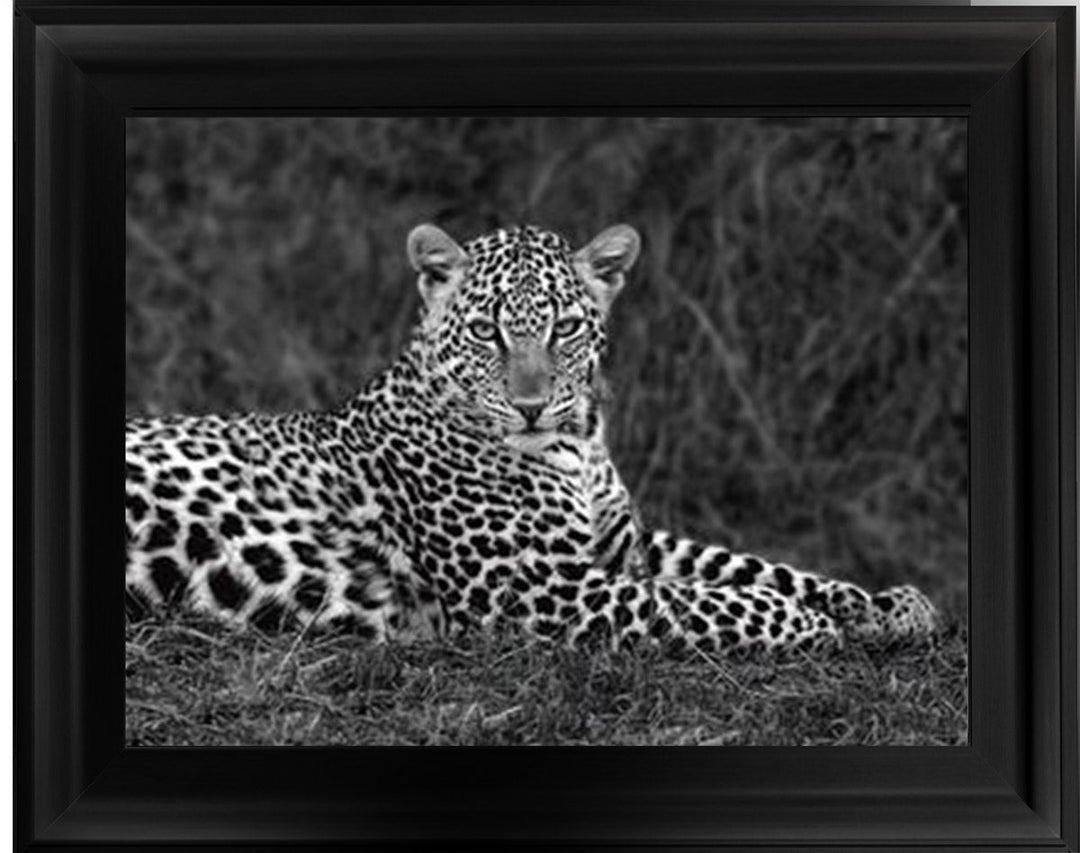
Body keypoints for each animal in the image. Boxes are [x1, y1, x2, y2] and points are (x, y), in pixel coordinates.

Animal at [125, 222, 939, 656]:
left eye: (566, 327)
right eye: (488, 330)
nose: (531, 406)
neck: (579, 444)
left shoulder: (624, 546)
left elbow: (744, 565)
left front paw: (887, 604)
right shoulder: (534, 589)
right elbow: (705, 602)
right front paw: (814, 622)